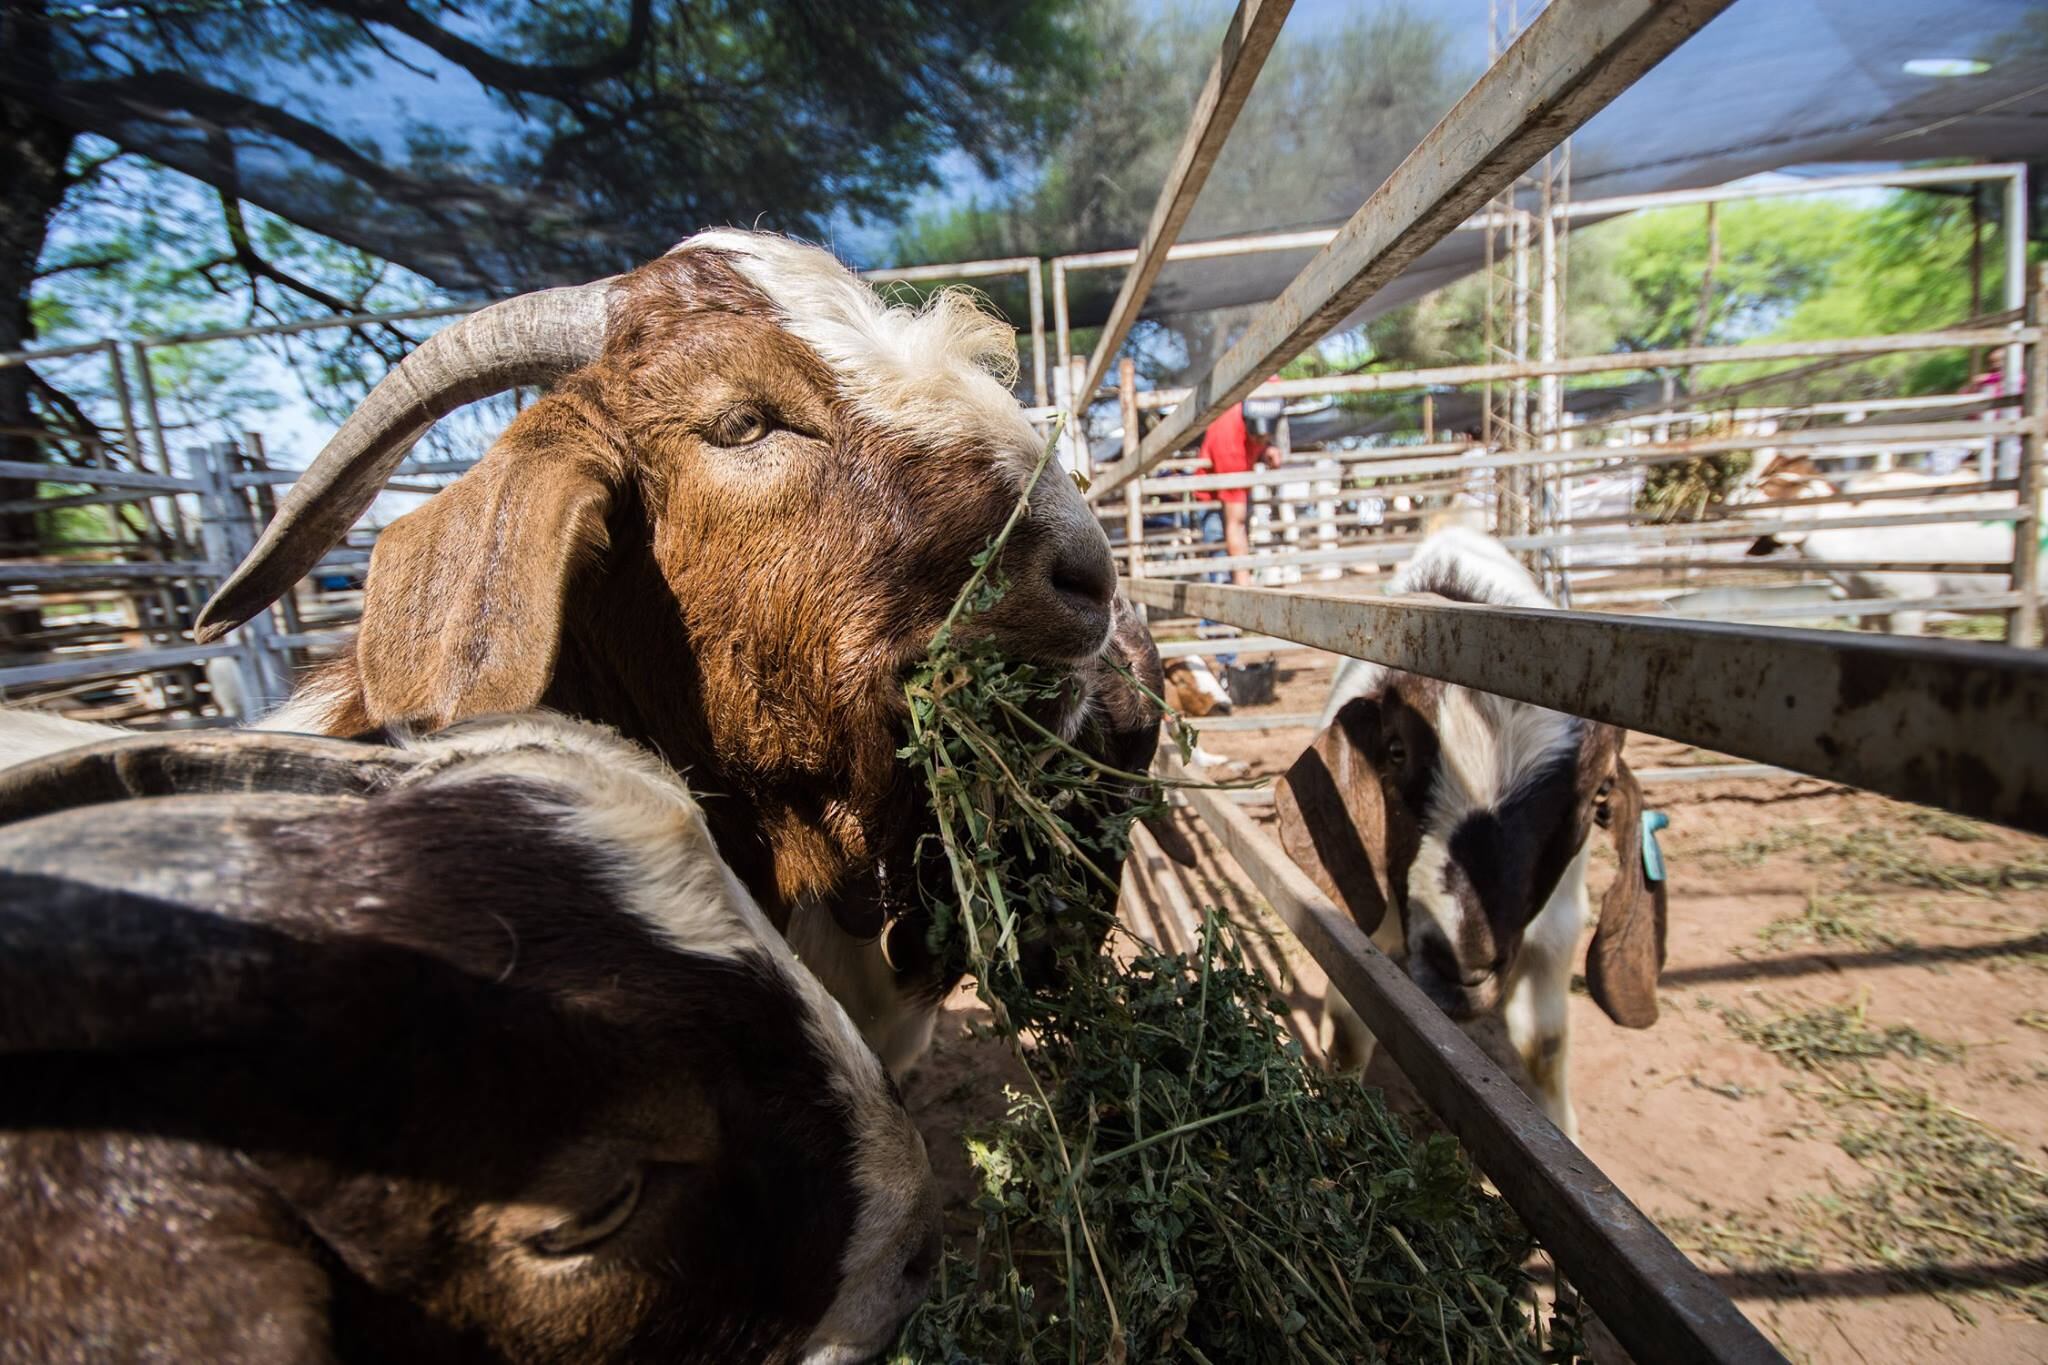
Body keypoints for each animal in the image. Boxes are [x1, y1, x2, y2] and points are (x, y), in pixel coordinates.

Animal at [1269, 527, 1671, 1137]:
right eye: (1395, 751)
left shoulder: (1557, 925)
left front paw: (1561, 1130)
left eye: (1600, 791)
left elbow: (1545, 1043)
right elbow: (1351, 1024)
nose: (1463, 963)